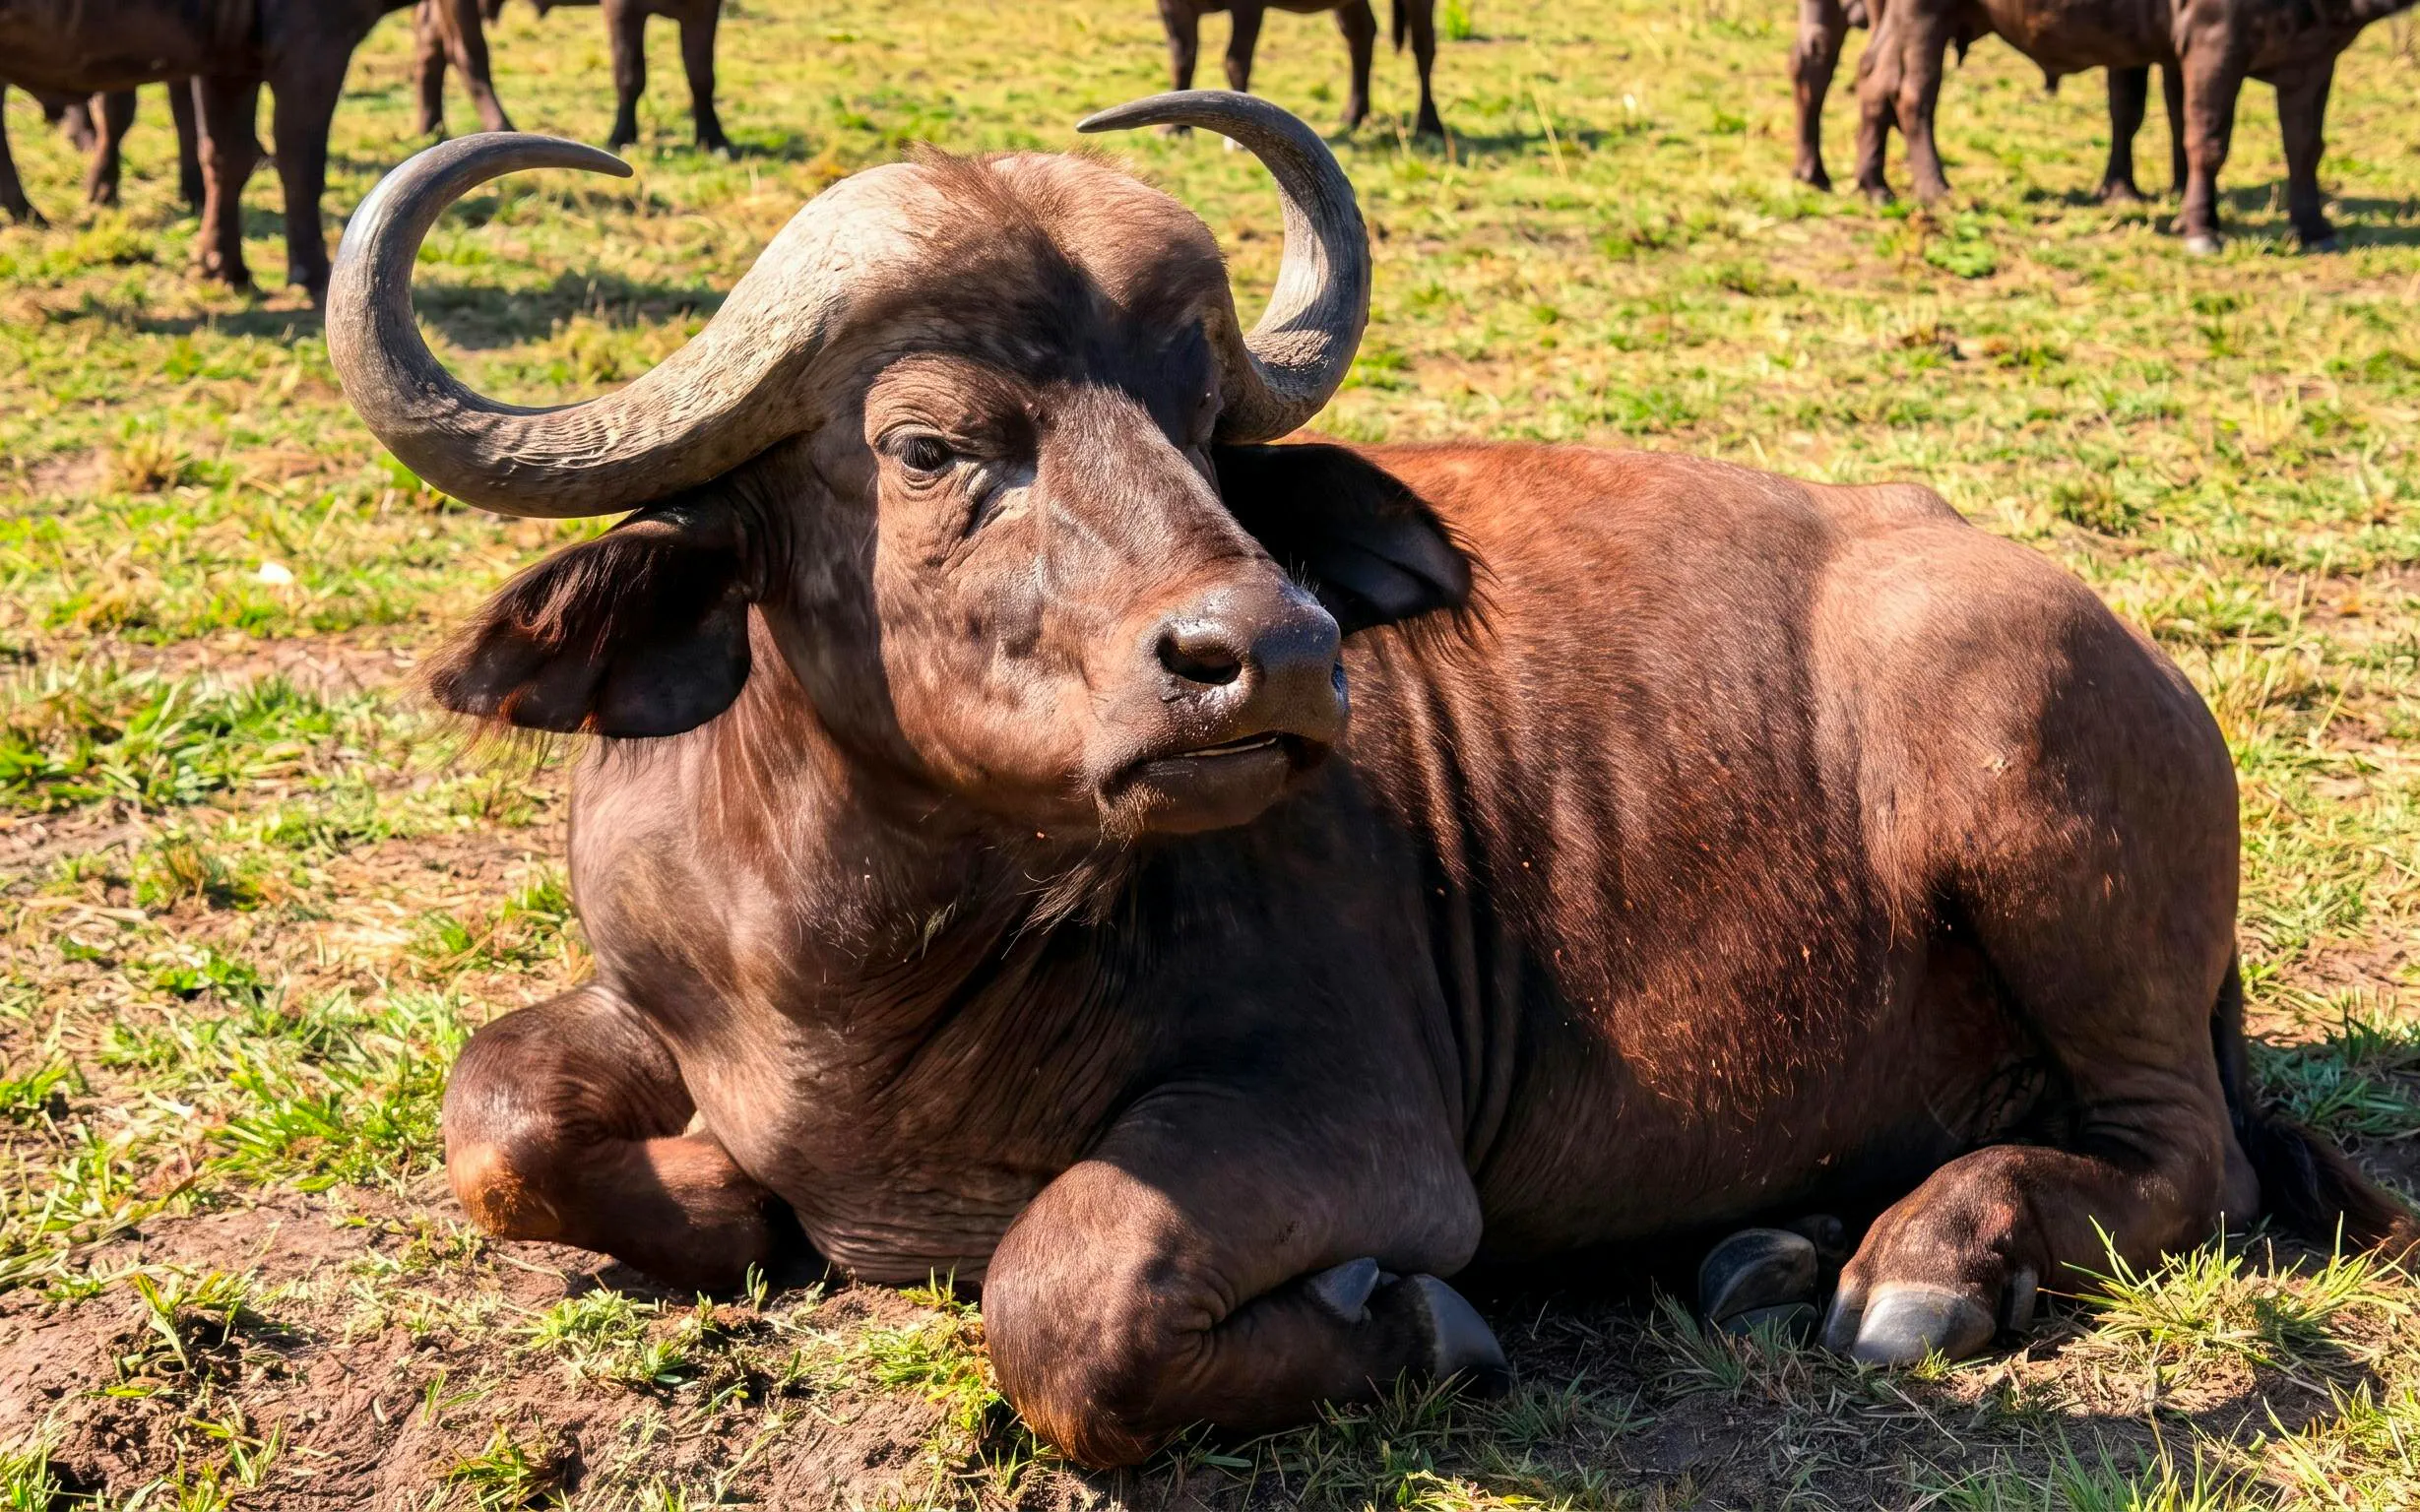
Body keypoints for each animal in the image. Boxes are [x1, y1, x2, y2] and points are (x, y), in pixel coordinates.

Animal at [324, 92, 2411, 1467]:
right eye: (930, 444)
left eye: (1202, 421)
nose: (1277, 650)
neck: (862, 967)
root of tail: (2112, 638)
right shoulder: (637, 983)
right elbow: (493, 1114)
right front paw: (720, 1194)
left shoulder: (1356, 1130)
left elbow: (1060, 1297)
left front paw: (1410, 1321)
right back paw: (1766, 1247)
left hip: (2038, 821)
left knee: (2186, 1156)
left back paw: (1919, 1266)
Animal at [413, 0, 729, 153]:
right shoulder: (621, 8)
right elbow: (630, 74)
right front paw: (623, 135)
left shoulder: (705, 8)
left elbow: (701, 75)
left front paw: (713, 137)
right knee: (468, 55)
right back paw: (500, 124)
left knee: (431, 43)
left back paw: (433, 127)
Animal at [1157, 1, 1443, 136]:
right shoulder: (1172, 5)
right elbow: (1182, 58)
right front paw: (1175, 128)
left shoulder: (1248, 6)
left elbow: (1236, 59)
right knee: (1361, 34)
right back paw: (1352, 115)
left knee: (1424, 45)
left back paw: (1429, 122)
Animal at [1828, 0, 2418, 250]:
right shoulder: (2212, 42)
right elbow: (2206, 140)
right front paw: (2200, 226)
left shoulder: (2316, 57)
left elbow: (2305, 146)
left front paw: (2313, 225)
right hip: (1923, 14)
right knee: (1913, 93)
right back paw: (1933, 187)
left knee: (1874, 81)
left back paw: (1875, 184)